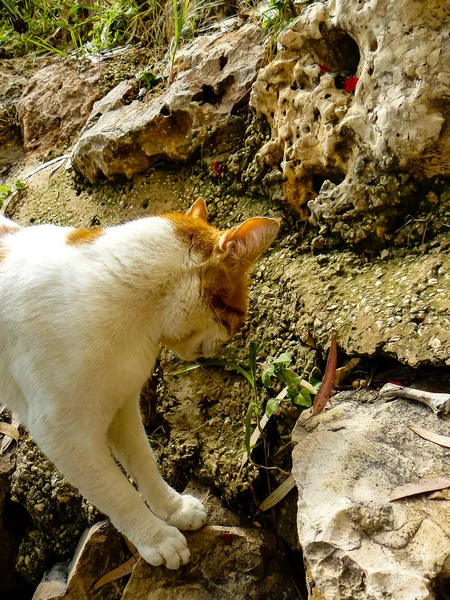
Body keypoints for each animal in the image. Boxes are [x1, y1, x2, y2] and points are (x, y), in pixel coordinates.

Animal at [0, 199, 280, 568]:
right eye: (239, 315)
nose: (231, 339)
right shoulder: (65, 439)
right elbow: (117, 493)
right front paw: (157, 539)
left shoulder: (122, 408)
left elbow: (145, 465)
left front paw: (174, 509)